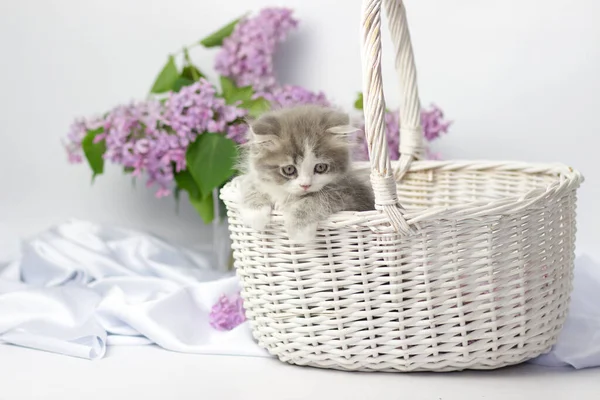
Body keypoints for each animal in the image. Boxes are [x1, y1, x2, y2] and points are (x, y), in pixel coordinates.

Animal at [237, 104, 372, 242]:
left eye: (321, 167)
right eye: (289, 169)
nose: (305, 185)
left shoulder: (352, 194)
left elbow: (316, 199)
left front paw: (299, 230)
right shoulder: (256, 176)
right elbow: (251, 184)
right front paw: (255, 213)